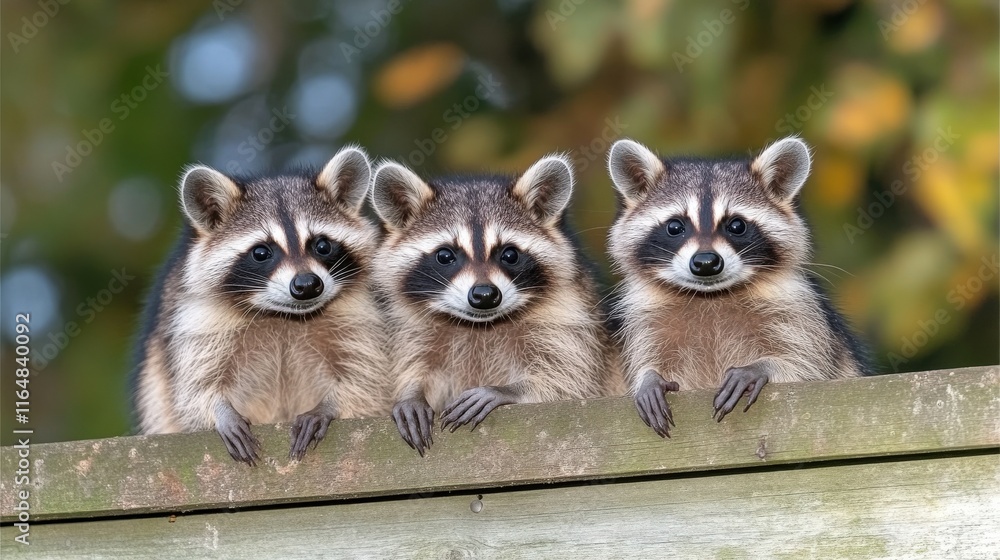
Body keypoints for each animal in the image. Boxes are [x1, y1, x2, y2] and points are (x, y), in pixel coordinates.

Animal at [131, 146, 391, 464]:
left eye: (322, 245)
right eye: (261, 252)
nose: (307, 285)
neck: (284, 315)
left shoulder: (359, 310)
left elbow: (365, 376)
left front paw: (330, 405)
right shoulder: (193, 317)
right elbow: (195, 388)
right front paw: (219, 411)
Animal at [370, 154, 623, 455]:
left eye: (509, 254)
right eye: (445, 255)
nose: (484, 295)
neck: (481, 324)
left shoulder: (569, 316)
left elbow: (568, 381)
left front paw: (507, 390)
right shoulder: (412, 326)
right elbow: (413, 362)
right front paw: (411, 392)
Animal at [606, 137, 870, 437]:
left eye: (736, 225)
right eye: (675, 226)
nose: (706, 262)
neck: (710, 295)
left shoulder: (799, 311)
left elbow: (807, 365)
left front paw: (761, 367)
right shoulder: (647, 319)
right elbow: (645, 358)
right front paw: (647, 377)